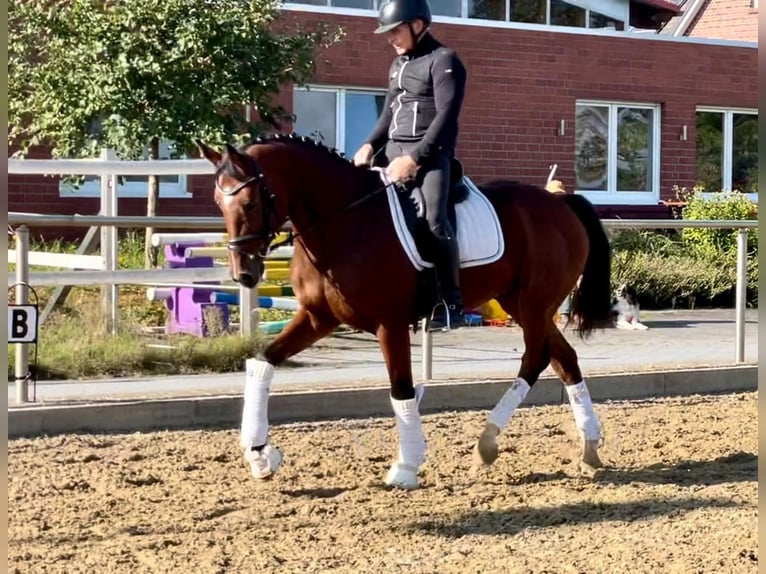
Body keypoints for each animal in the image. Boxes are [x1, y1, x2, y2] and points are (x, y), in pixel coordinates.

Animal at [196, 134, 612, 490]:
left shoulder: (389, 324)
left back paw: (488, 442)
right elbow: (262, 361)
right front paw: (260, 454)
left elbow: (401, 388)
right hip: (523, 305)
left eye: (249, 203)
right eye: (218, 202)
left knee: (537, 357)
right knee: (563, 358)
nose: (244, 274)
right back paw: (587, 447)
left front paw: (406, 466)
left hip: (534, 303)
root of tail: (561, 203)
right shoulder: (318, 317)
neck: (346, 223)